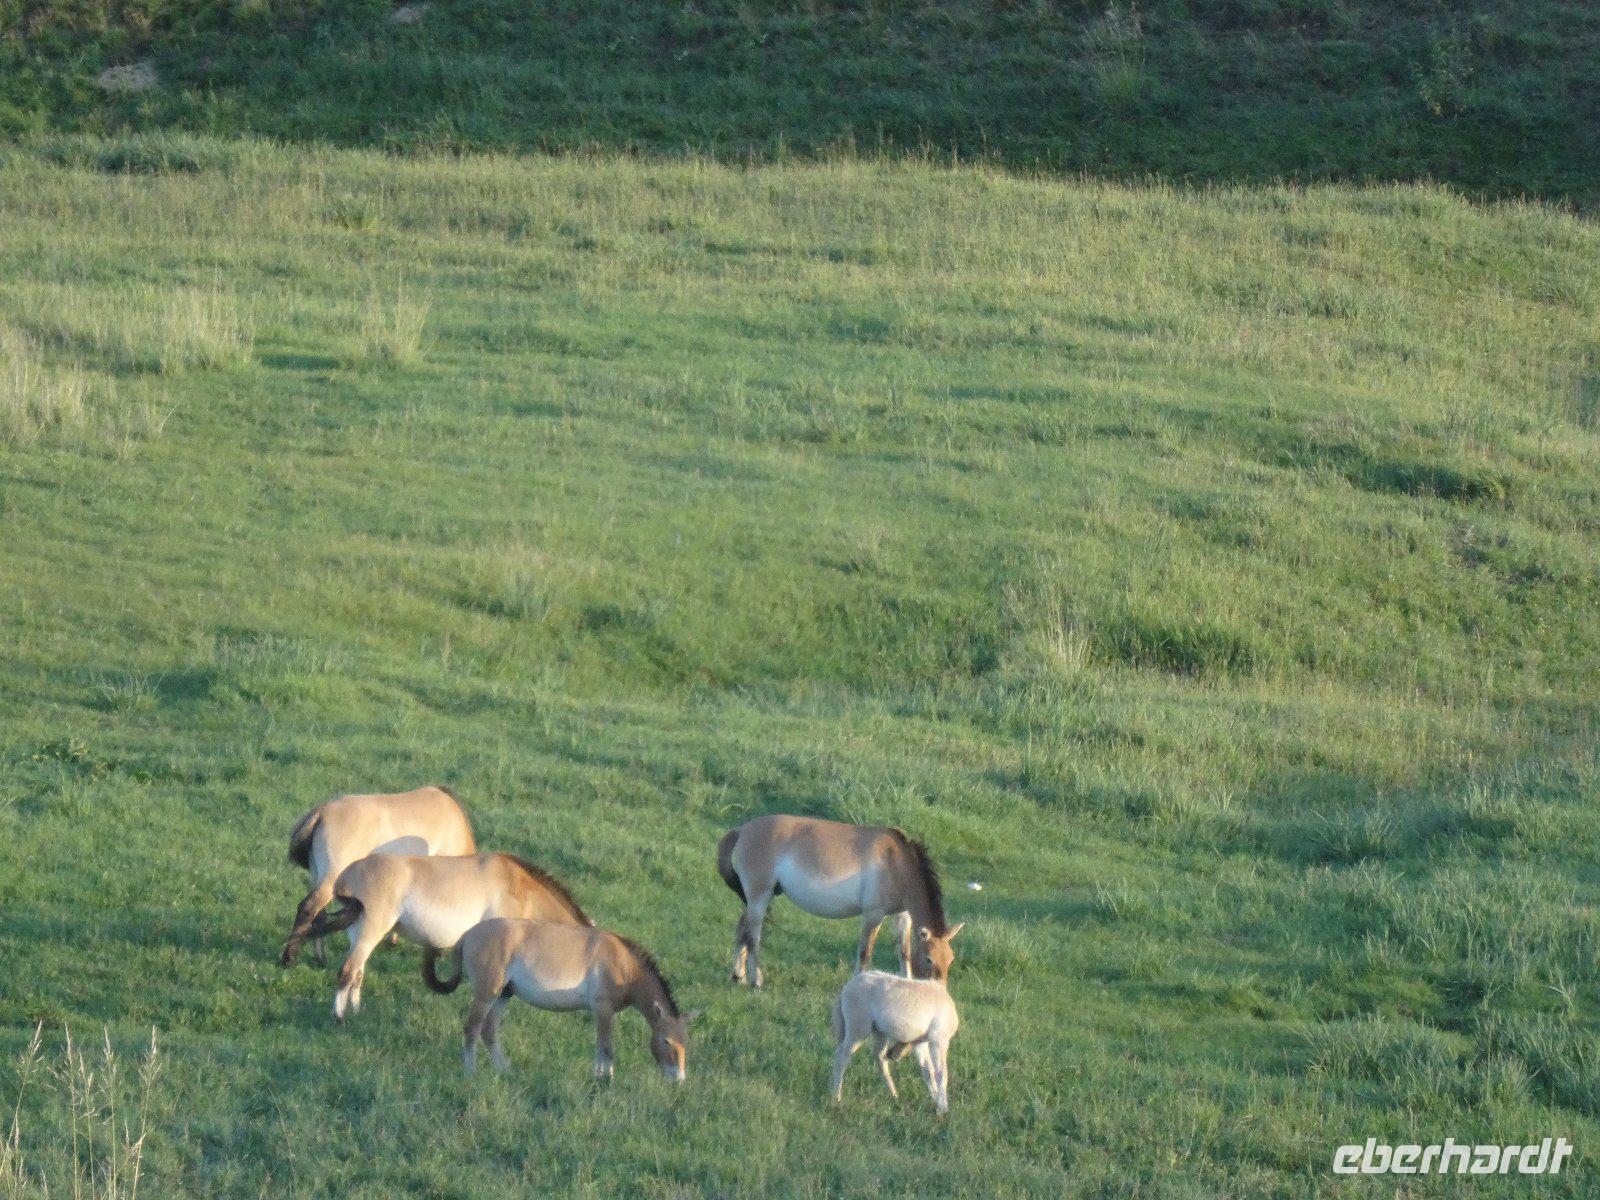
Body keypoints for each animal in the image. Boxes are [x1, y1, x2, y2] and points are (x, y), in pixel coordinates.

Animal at [279, 853, 591, 1021]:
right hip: (371, 931)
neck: (519, 887)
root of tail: (347, 875)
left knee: (357, 973)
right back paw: (339, 1018)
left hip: (359, 933)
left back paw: (355, 1012)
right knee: (346, 972)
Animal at [284, 785, 476, 965]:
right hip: (332, 876)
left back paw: (320, 958)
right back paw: (288, 958)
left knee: (319, 915)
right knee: (308, 908)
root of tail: (320, 812)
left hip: (318, 874)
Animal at [439, 917, 698, 1082]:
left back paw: (505, 1070)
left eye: (685, 1042)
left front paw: (597, 1076)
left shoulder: (601, 1013)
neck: (624, 964)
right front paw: (606, 1080)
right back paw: (471, 1072)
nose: (678, 1080)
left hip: (503, 995)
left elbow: (599, 1047)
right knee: (472, 1028)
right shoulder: (603, 1009)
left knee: (488, 1031)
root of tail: (468, 934)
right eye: (666, 1041)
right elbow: (607, 1048)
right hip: (486, 994)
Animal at [716, 814, 964, 987]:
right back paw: (756, 979)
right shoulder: (873, 915)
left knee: (742, 931)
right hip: (759, 896)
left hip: (757, 898)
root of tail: (742, 830)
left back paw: (738, 975)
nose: (939, 991)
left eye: (950, 959)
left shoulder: (901, 916)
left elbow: (903, 952)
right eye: (930, 960)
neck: (897, 863)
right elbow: (865, 953)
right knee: (754, 937)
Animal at [830, 970, 959, 1113]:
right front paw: (943, 1108)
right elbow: (941, 1073)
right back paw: (836, 1098)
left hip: (879, 1032)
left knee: (879, 1058)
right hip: (857, 1029)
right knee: (841, 1057)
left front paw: (936, 1101)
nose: (892, 1055)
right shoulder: (939, 1040)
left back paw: (893, 1095)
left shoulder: (920, 1042)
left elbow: (927, 1071)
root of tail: (846, 988)